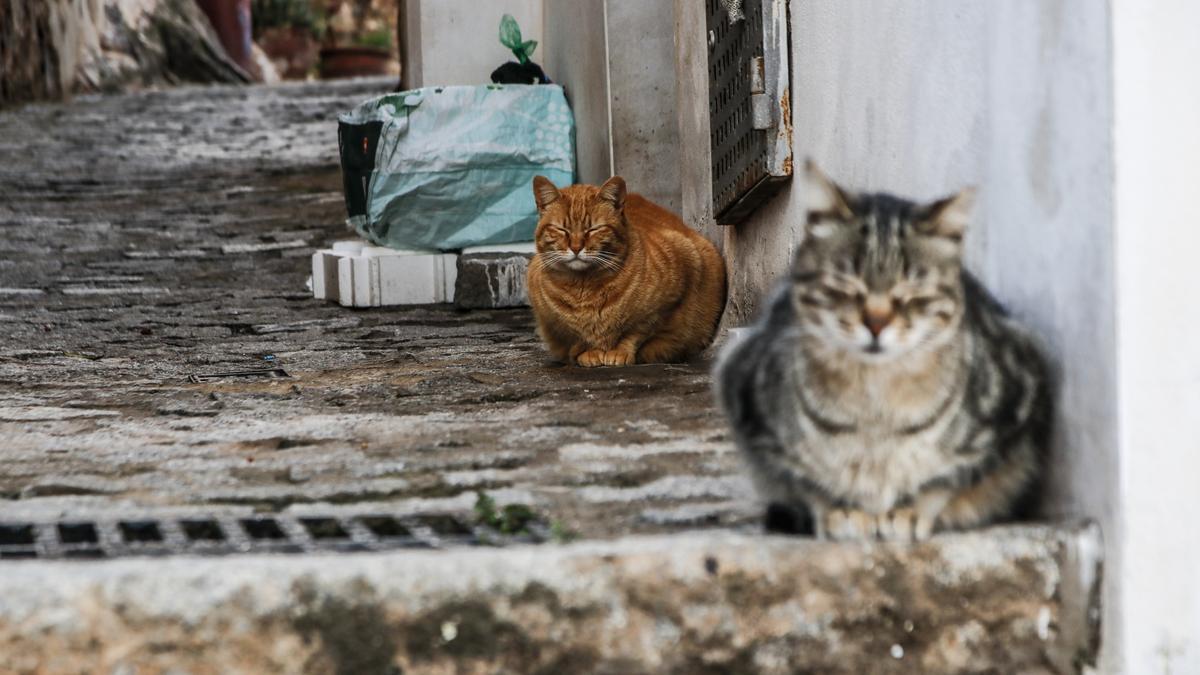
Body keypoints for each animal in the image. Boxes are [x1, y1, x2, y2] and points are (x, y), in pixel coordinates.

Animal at [523, 172, 720, 362]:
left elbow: (636, 332)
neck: (584, 287)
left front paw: (620, 352)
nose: (576, 248)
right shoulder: (554, 323)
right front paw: (590, 352)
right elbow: (577, 337)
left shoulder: (665, 303)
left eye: (594, 229)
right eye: (562, 230)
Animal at [715, 159, 1046, 538]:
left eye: (913, 290)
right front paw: (841, 510)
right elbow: (809, 480)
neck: (875, 405)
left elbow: (941, 480)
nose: (876, 323)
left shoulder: (1007, 411)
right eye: (845, 284)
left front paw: (908, 511)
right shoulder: (749, 403)